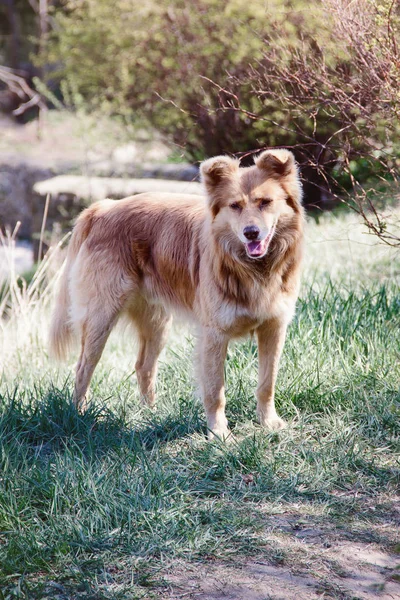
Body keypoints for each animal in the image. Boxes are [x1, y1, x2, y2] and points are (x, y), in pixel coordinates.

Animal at [50, 149, 306, 440]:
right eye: (235, 206)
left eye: (265, 202)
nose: (251, 233)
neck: (253, 269)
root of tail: (103, 208)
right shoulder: (214, 335)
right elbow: (215, 390)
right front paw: (219, 433)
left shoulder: (274, 328)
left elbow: (267, 382)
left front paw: (269, 422)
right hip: (100, 319)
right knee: (83, 368)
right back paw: (79, 416)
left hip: (157, 323)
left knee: (144, 367)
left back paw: (150, 415)